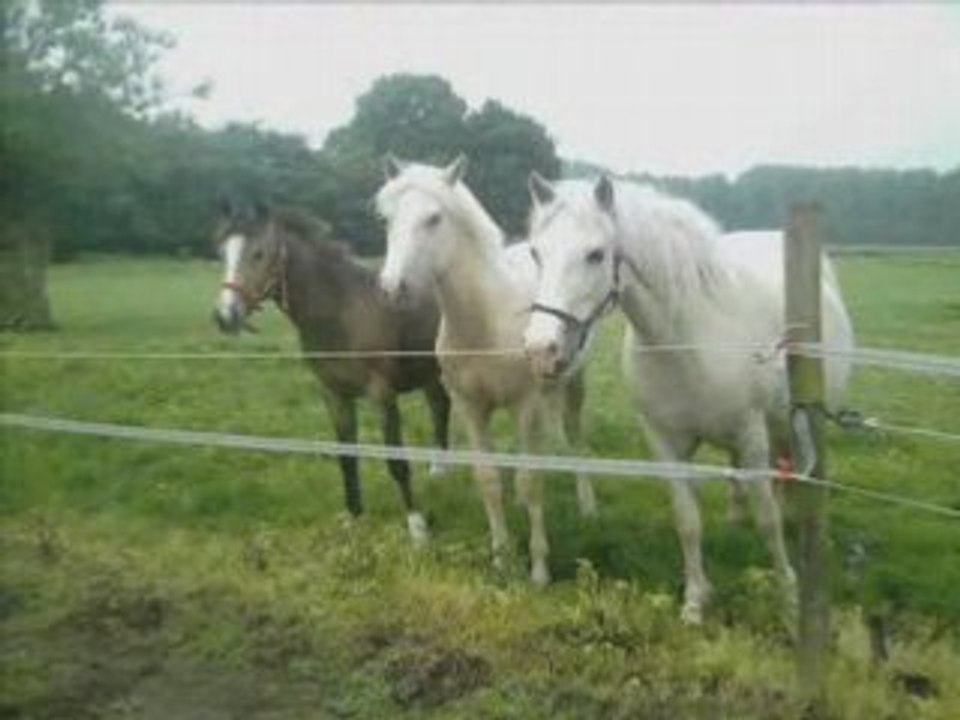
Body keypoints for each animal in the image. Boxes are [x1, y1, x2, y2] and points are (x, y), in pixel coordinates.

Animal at [211, 200, 451, 542]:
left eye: (259, 253)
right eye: (222, 253)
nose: (225, 316)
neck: (341, 311)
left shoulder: (381, 394)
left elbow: (396, 460)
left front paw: (417, 527)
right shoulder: (333, 394)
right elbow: (346, 457)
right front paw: (353, 518)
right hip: (430, 373)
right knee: (440, 408)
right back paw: (440, 472)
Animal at [375, 156, 598, 585]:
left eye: (434, 218)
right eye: (387, 219)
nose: (393, 289)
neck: (486, 322)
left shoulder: (526, 405)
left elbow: (532, 482)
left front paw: (539, 569)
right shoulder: (471, 407)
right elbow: (490, 480)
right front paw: (501, 559)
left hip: (574, 383)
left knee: (576, 438)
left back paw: (587, 503)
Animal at [522, 174, 854, 623]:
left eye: (595, 254)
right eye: (536, 252)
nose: (541, 350)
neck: (684, 340)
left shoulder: (750, 433)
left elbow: (767, 518)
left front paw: (787, 595)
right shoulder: (665, 442)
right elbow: (688, 520)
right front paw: (696, 601)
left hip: (798, 422)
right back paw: (736, 516)